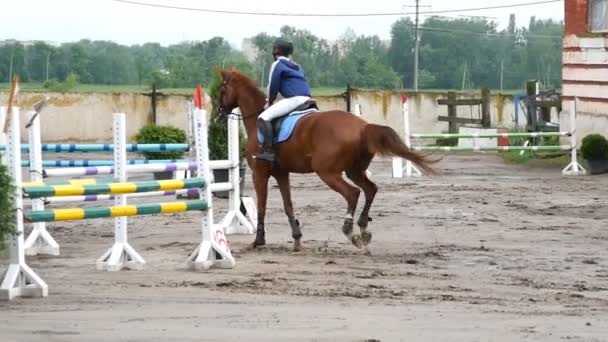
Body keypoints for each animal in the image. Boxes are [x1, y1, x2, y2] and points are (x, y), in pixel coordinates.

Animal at [215, 69, 436, 251]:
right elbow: (288, 205)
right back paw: (363, 229)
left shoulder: (259, 174)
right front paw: (296, 238)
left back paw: (350, 231)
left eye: (222, 89)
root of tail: (363, 127)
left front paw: (258, 240)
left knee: (353, 193)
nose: (218, 114)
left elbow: (261, 206)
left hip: (327, 172)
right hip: (354, 171)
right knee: (370, 189)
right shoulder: (281, 173)